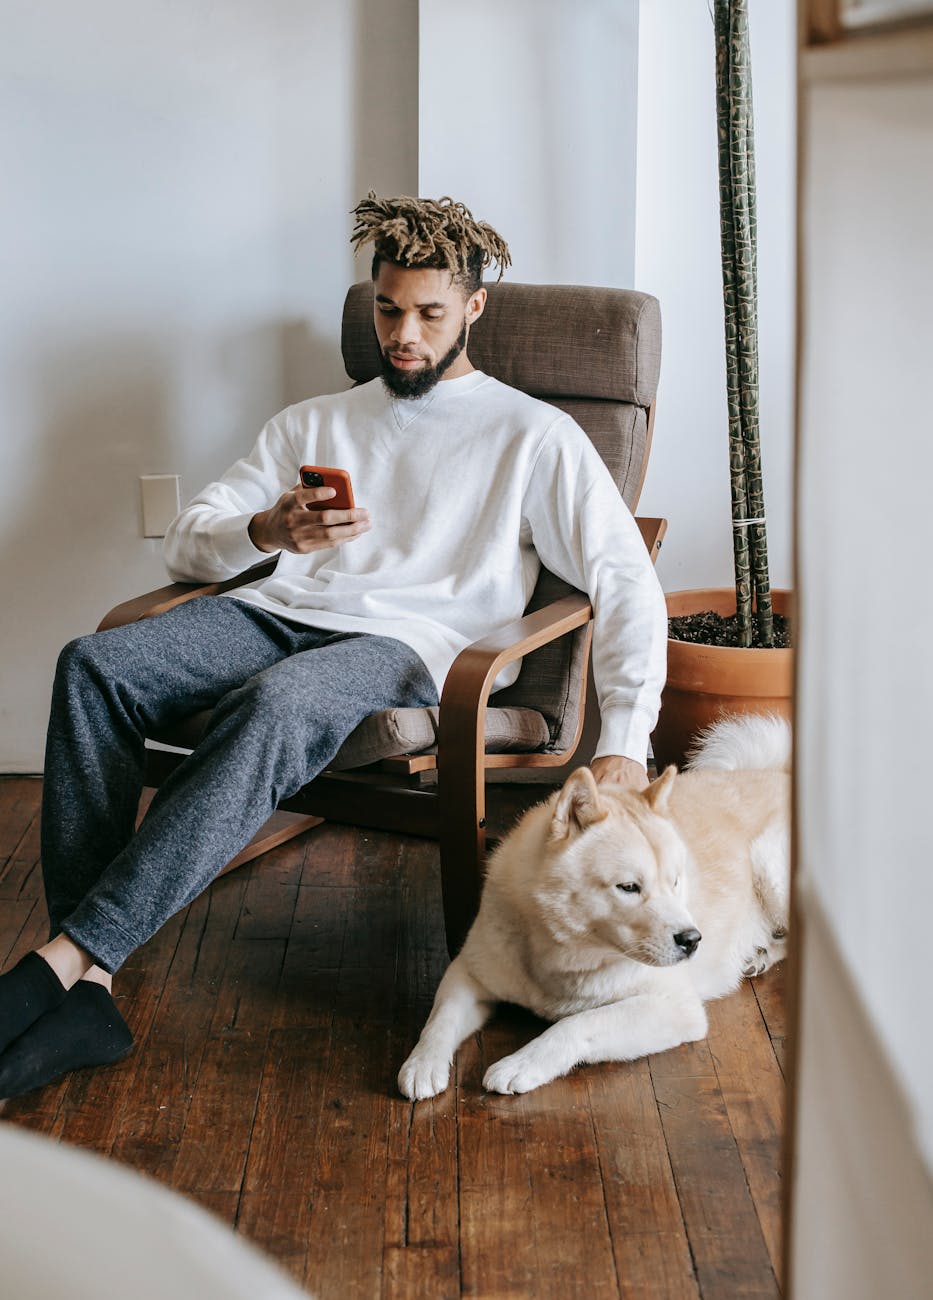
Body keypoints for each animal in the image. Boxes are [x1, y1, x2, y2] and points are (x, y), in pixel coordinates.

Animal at [397, 712, 795, 1097]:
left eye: (675, 881)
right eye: (629, 887)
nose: (693, 940)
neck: (560, 956)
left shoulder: (674, 1006)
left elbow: (576, 1024)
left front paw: (520, 1065)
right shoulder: (470, 971)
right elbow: (441, 1018)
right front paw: (422, 1063)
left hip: (769, 870)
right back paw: (758, 955)